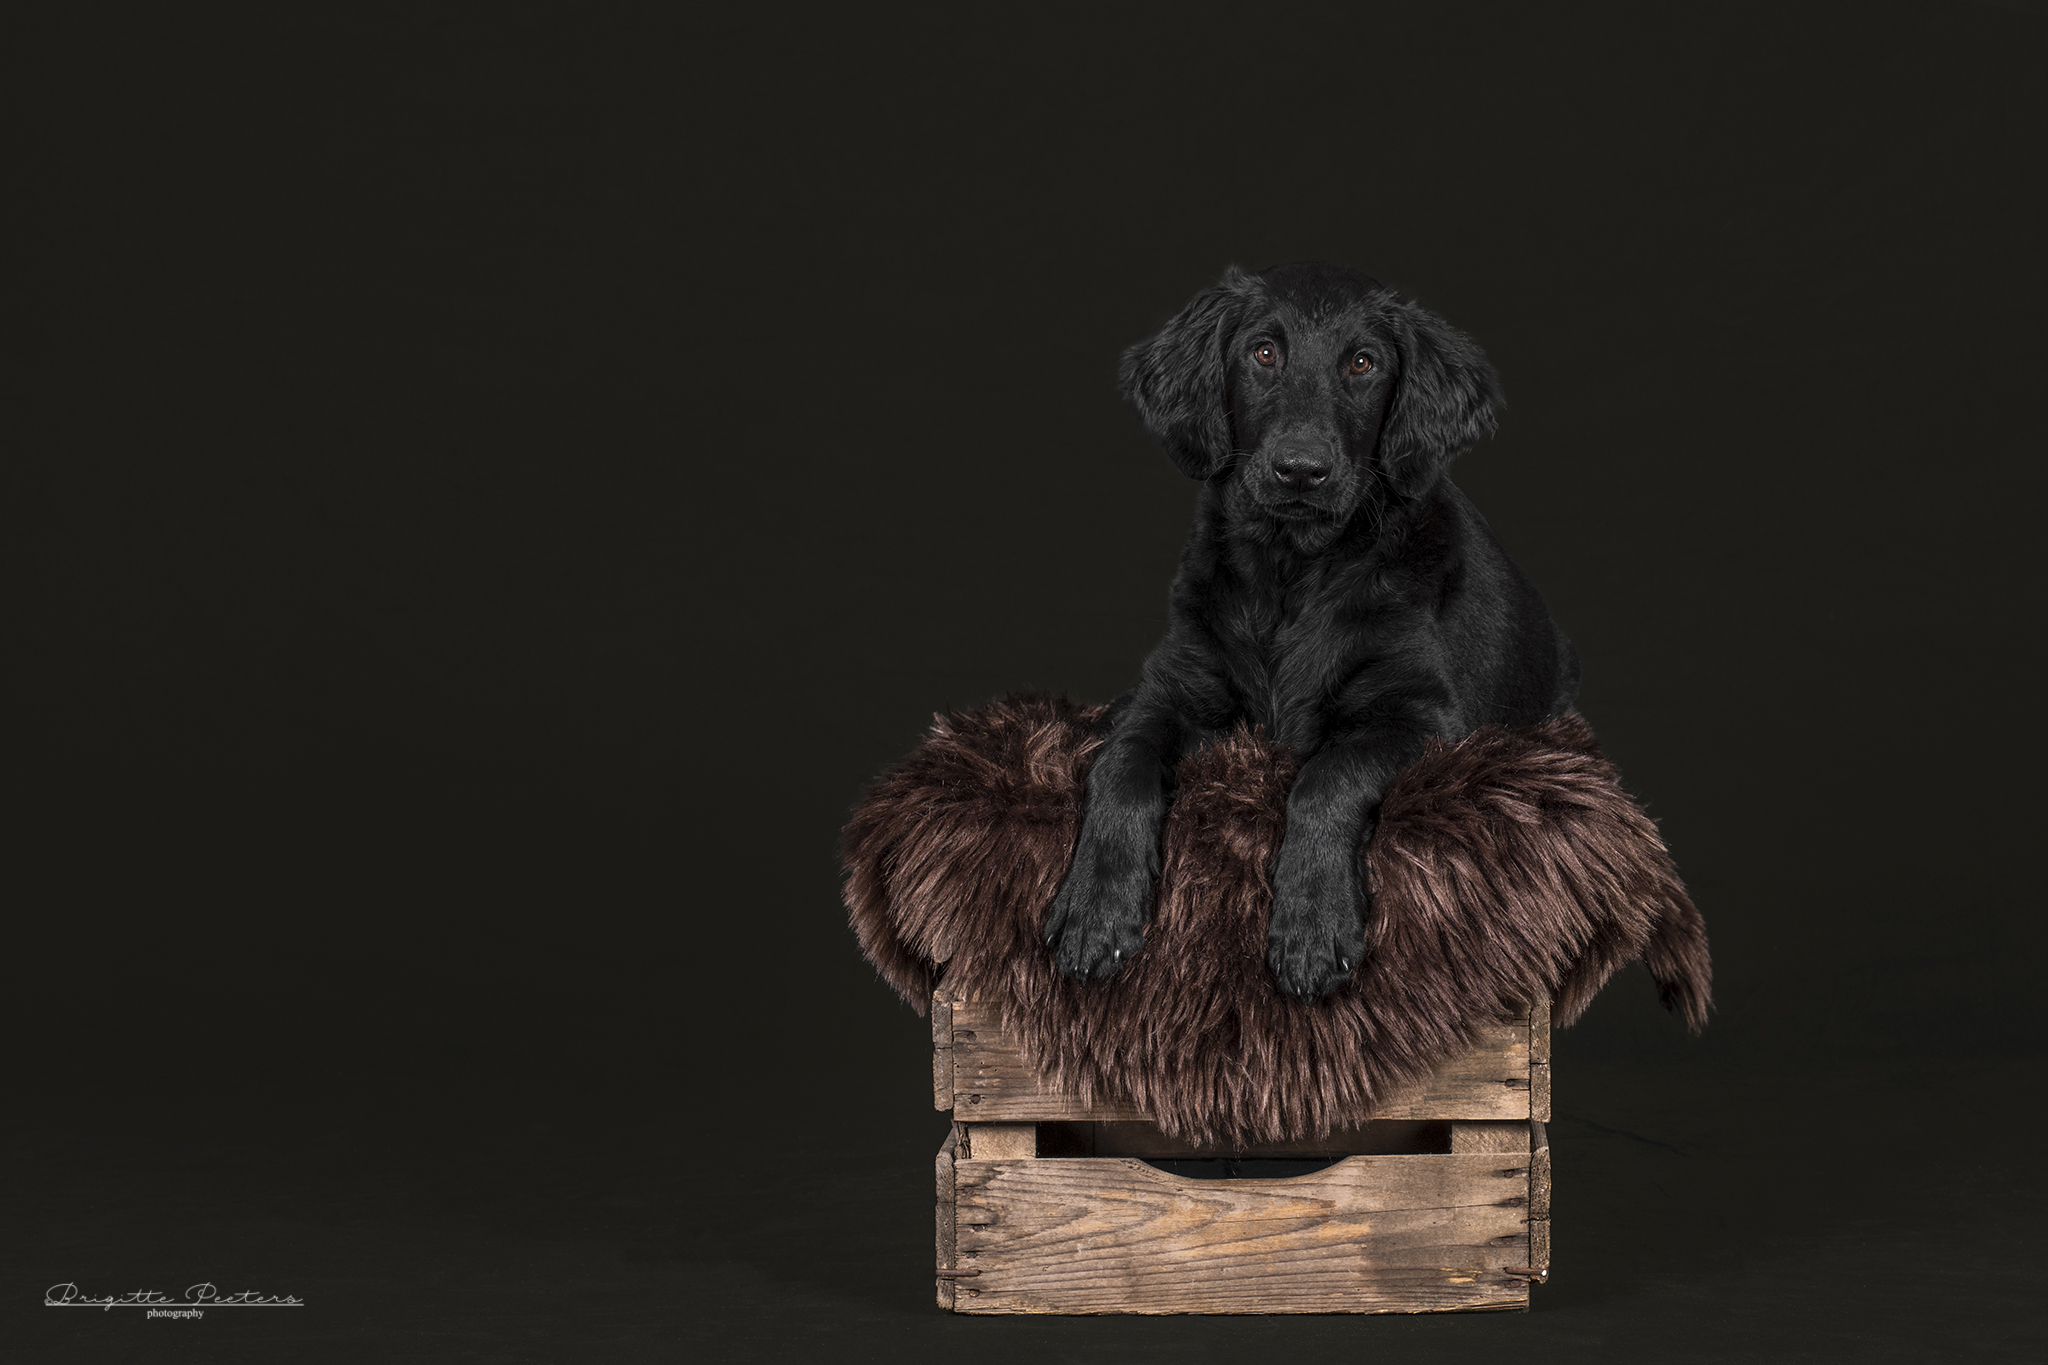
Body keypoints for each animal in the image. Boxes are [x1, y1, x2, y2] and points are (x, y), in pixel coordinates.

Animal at [1043, 261, 1581, 1000]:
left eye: (1363, 363)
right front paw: (1094, 909)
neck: (1292, 572)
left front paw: (1312, 928)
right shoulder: (1178, 686)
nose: (1301, 469)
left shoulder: (1423, 718)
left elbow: (1327, 777)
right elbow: (1121, 764)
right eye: (1264, 352)